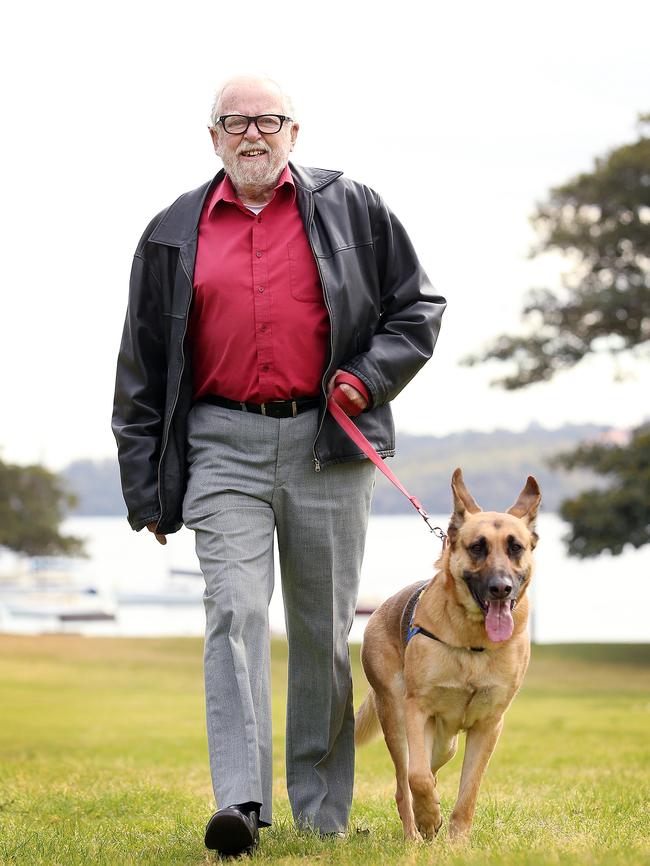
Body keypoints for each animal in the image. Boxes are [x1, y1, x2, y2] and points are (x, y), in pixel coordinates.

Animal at [352, 470, 540, 840]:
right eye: (477, 547)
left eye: (516, 547)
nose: (501, 588)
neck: (473, 642)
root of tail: (379, 608)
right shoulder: (416, 711)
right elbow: (418, 778)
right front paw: (428, 819)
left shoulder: (488, 726)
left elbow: (468, 792)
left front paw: (457, 841)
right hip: (396, 719)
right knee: (405, 783)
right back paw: (414, 833)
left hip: (445, 744)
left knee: (432, 772)